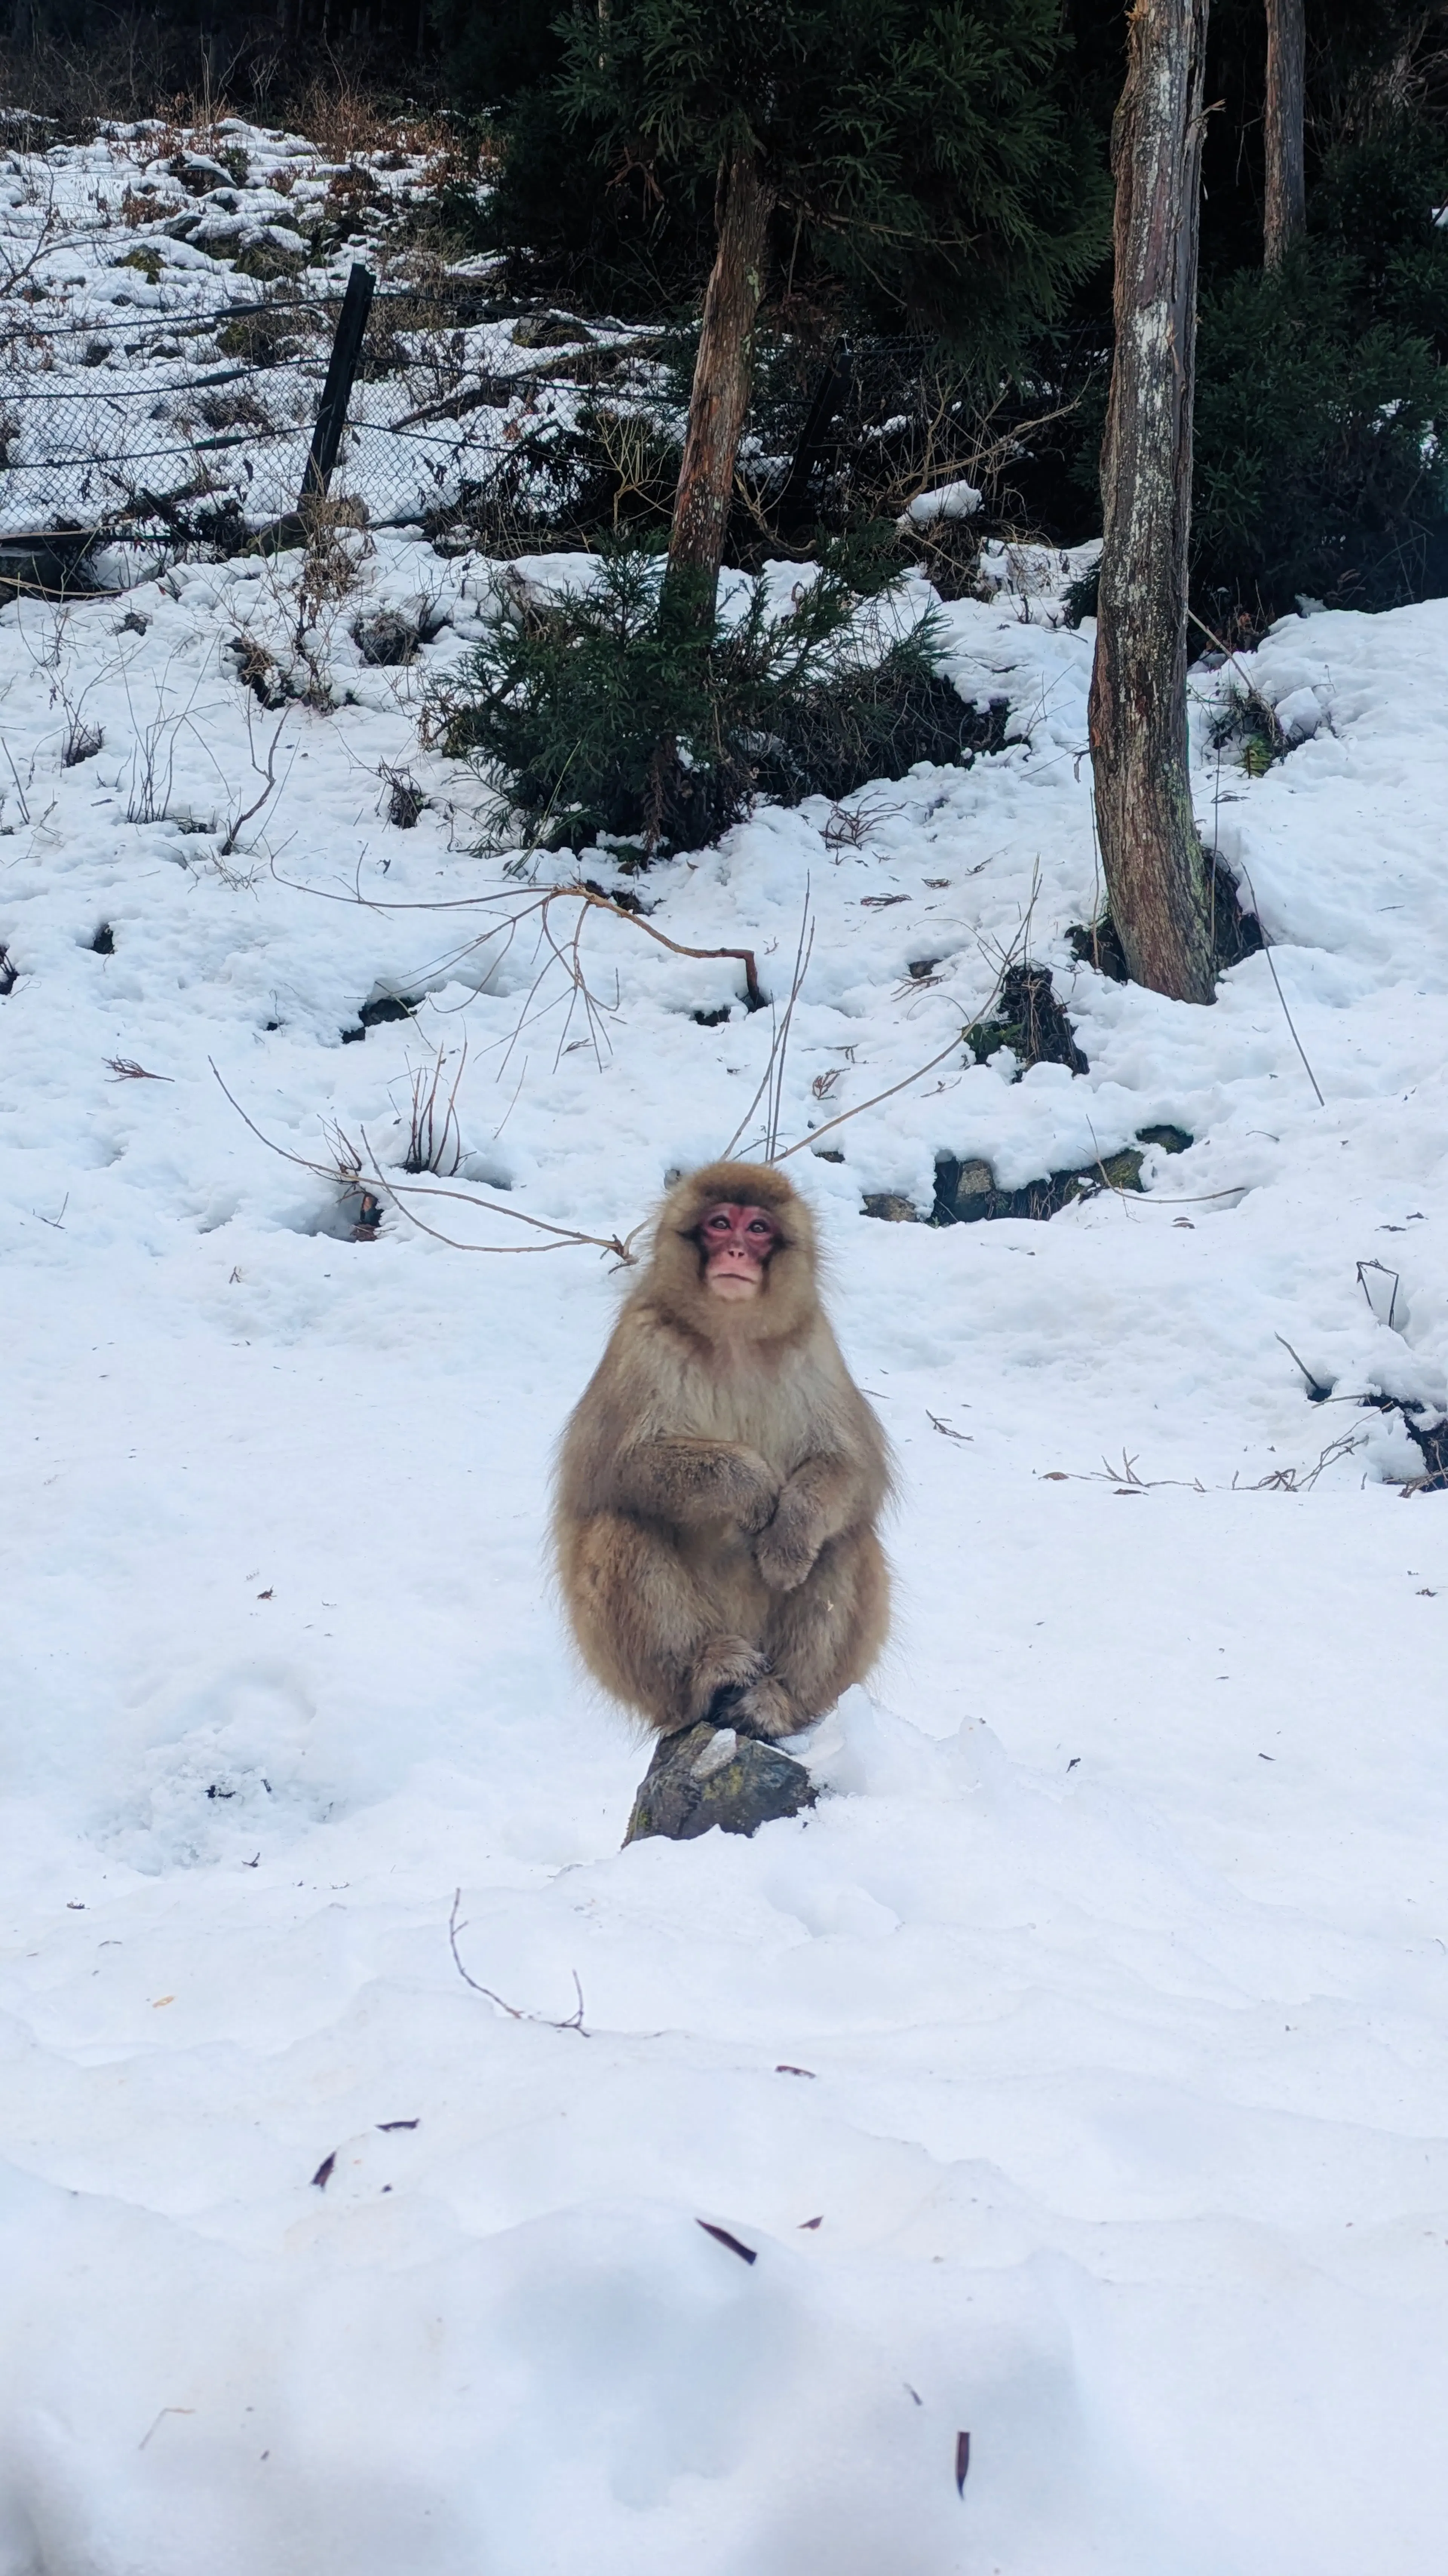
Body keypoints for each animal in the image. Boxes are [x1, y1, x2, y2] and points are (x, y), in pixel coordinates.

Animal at [554, 1159, 891, 1742]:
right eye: (719, 1223)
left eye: (757, 1228)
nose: (735, 1251)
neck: (733, 1336)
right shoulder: (642, 1344)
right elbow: (612, 1469)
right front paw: (751, 1486)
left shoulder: (814, 1347)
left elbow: (854, 1468)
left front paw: (788, 1533)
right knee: (619, 1524)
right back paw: (707, 1673)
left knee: (848, 1535)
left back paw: (777, 1701)